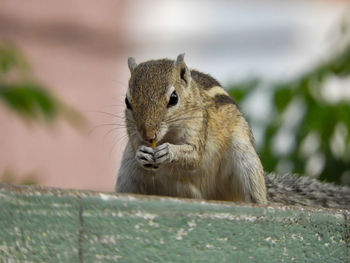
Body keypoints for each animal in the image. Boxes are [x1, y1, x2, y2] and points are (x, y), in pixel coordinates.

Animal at [116, 54, 350, 210]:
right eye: (127, 101)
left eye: (174, 98)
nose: (149, 135)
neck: (170, 134)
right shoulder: (133, 134)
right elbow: (137, 149)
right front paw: (143, 153)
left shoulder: (199, 126)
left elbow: (194, 156)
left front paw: (169, 152)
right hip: (126, 175)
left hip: (245, 160)